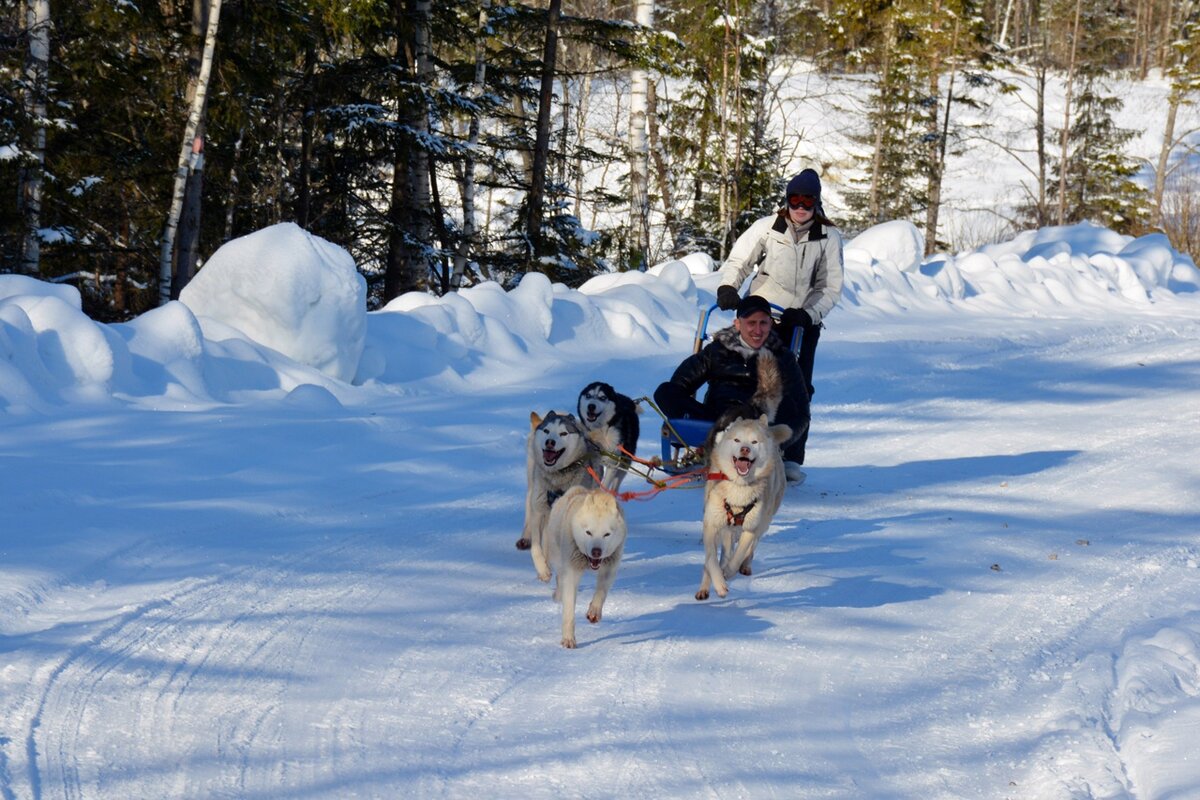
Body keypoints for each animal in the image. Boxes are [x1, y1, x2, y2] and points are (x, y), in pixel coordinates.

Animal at [532, 484, 628, 647]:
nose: (596, 551)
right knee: (559, 579)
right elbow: (569, 610)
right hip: (557, 557)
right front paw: (568, 639)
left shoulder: (609, 567)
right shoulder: (571, 572)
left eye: (606, 534)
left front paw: (594, 611)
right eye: (588, 532)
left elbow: (601, 592)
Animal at [700, 417, 792, 597]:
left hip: (763, 522)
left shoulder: (750, 527)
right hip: (727, 527)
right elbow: (711, 558)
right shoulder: (711, 523)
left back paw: (744, 566)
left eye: (754, 442)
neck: (738, 487)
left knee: (751, 548)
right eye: (737, 440)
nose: (745, 449)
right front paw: (718, 583)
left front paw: (728, 572)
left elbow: (739, 555)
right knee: (725, 551)